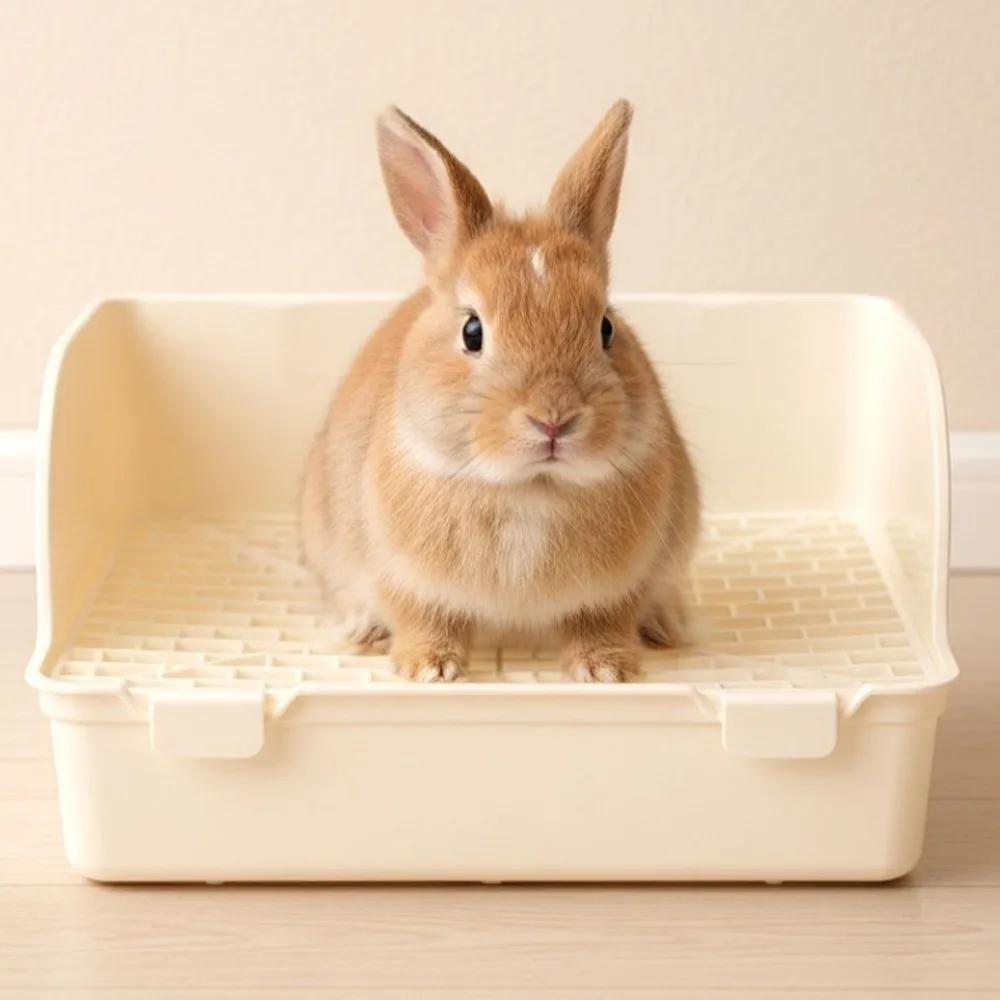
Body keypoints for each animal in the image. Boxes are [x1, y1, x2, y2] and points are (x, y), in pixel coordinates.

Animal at [300, 99, 700, 683]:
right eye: (472, 331)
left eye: (606, 328)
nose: (554, 418)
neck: (529, 489)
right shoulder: (402, 578)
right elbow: (422, 617)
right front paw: (428, 669)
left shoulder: (620, 588)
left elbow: (601, 623)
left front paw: (605, 670)